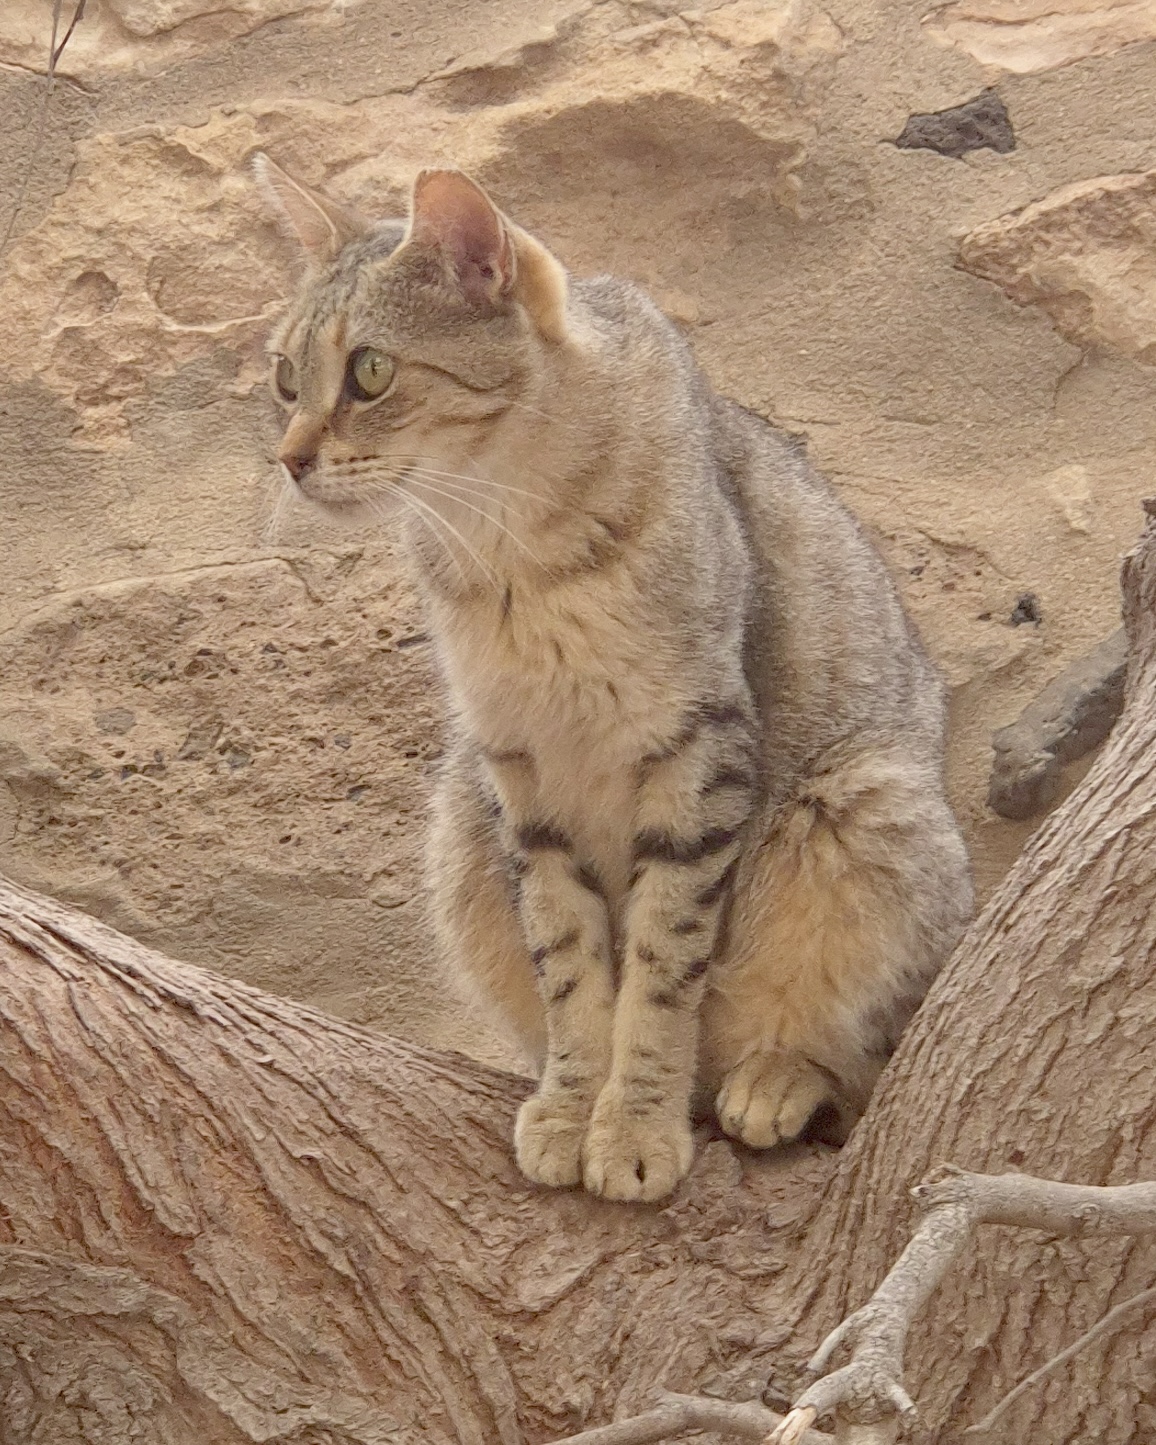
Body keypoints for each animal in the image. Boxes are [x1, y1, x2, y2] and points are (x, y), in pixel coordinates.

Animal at [254, 154, 974, 1203]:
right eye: (283, 377)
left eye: (370, 372)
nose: (290, 459)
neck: (507, 547)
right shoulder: (517, 770)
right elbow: (569, 963)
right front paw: (570, 1107)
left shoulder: (697, 751)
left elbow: (661, 968)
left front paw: (635, 1125)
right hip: (459, 822)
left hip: (865, 799)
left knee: (866, 1048)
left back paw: (772, 1080)